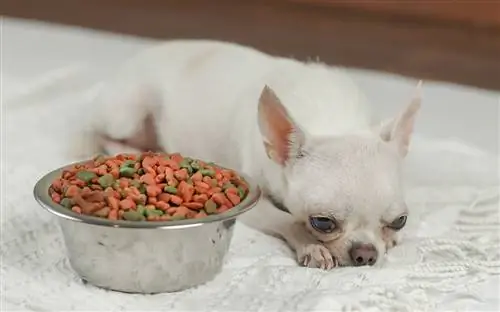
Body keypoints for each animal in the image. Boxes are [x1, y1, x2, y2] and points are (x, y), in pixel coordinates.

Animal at [76, 39, 424, 270]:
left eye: (400, 221)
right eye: (322, 223)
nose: (366, 254)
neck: (333, 120)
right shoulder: (251, 202)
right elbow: (287, 220)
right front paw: (312, 246)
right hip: (126, 112)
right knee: (100, 132)